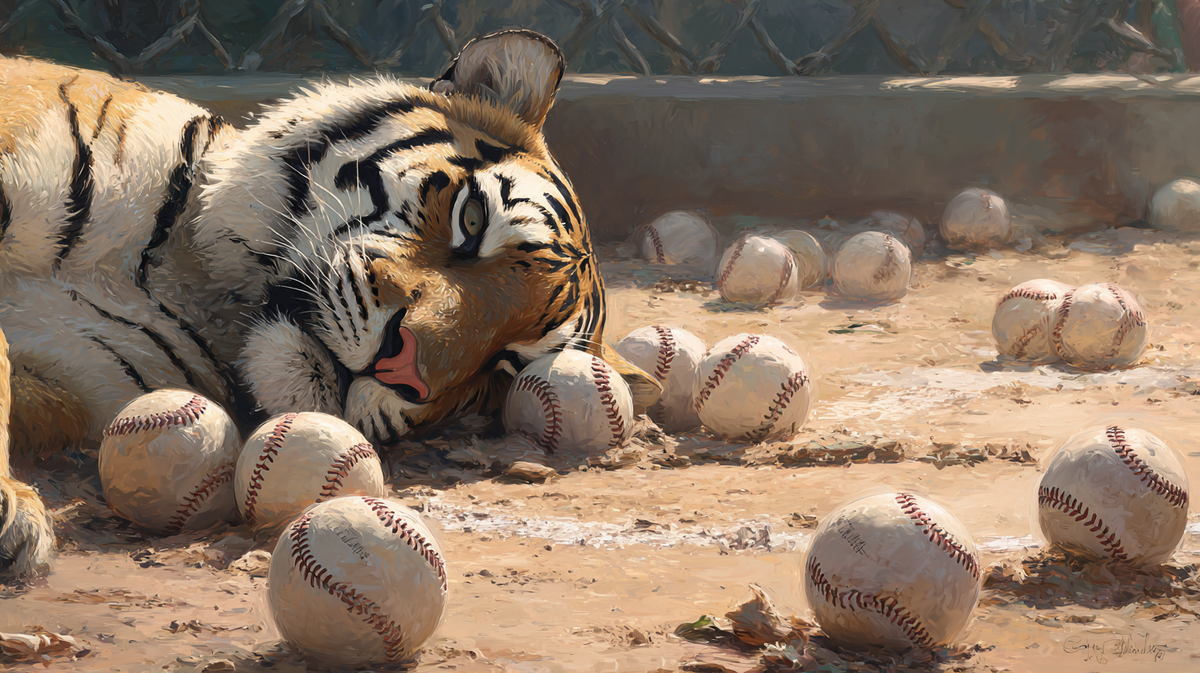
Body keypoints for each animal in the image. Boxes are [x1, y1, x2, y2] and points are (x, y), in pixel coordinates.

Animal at [0, 29, 661, 577]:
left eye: (504, 368)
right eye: (472, 220)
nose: (402, 368)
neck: (190, 282)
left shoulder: (71, 381)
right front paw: (13, 511)